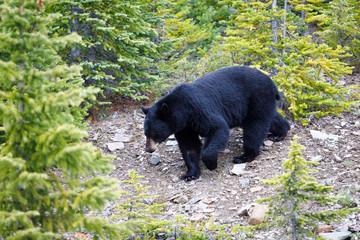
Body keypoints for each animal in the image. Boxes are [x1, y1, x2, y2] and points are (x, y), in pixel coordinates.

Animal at [141, 65, 290, 180]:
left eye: (153, 134)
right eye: (145, 134)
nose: (148, 149)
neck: (183, 110)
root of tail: (272, 82)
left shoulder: (199, 110)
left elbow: (218, 128)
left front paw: (211, 164)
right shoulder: (184, 127)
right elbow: (189, 146)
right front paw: (190, 174)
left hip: (257, 97)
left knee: (255, 127)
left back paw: (244, 156)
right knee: (270, 118)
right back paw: (280, 133)